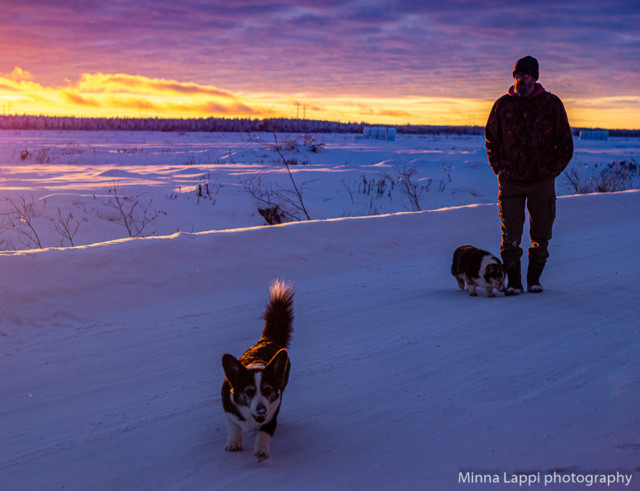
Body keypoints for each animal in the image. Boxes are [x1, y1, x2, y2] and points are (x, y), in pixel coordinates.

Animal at [221, 280, 294, 462]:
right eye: (249, 391)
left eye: (268, 390)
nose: (261, 410)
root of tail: (267, 339)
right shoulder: (229, 411)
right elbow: (234, 428)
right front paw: (233, 443)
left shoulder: (272, 414)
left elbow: (264, 433)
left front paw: (261, 450)